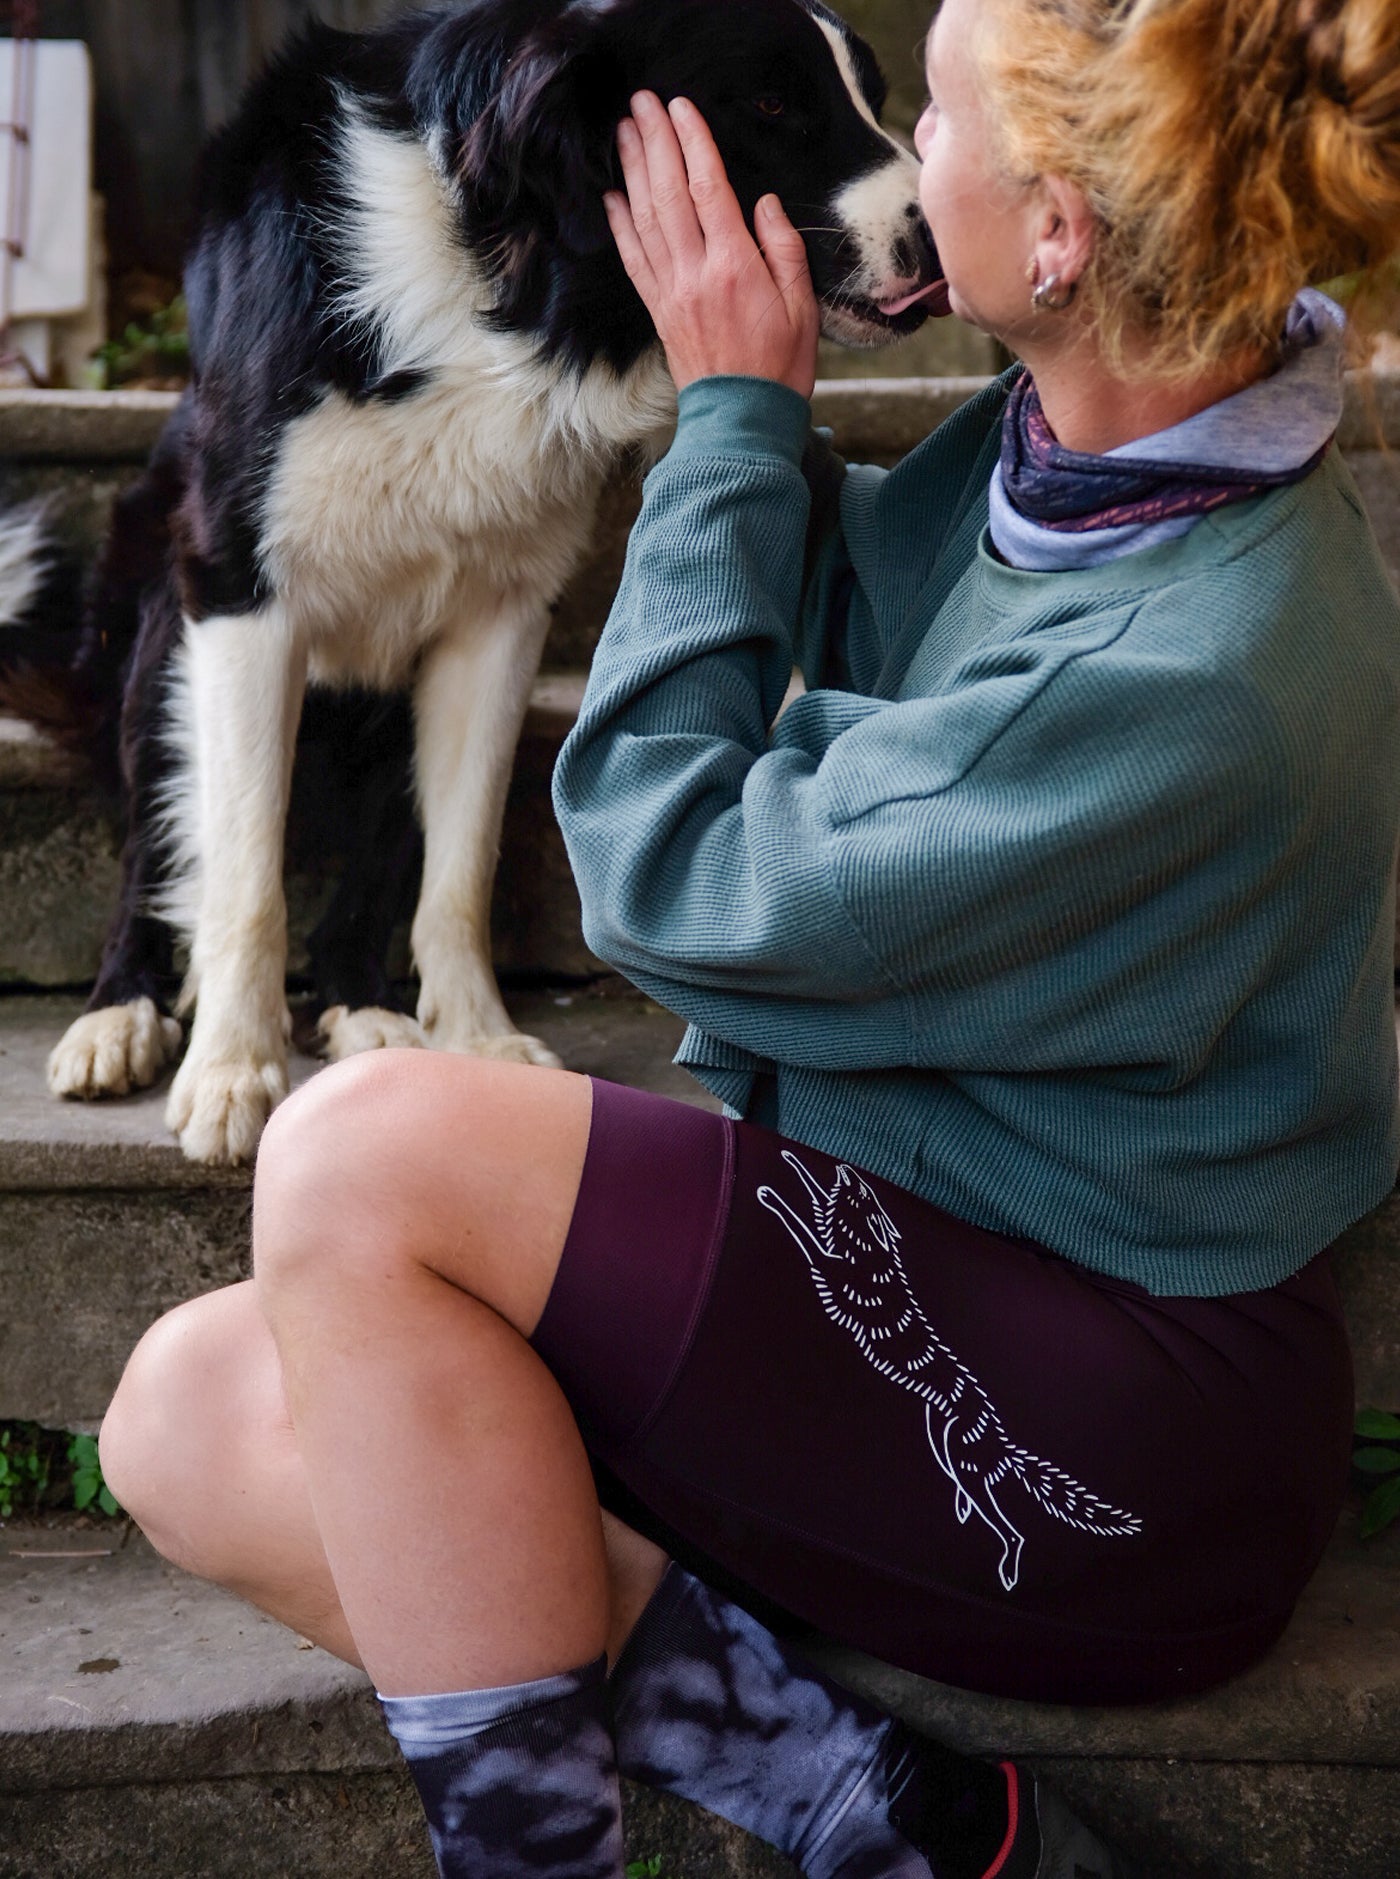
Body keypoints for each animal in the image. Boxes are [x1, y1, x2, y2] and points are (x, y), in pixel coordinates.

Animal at [2, 0, 939, 1164]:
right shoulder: (240, 595)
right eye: (769, 102)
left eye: (869, 95)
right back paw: (118, 1013)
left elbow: (459, 862)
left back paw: (365, 1009)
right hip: (151, 625)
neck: (501, 280)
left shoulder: (499, 618)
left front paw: (476, 1043)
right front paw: (230, 1072)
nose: (940, 242)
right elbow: (243, 872)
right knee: (152, 835)